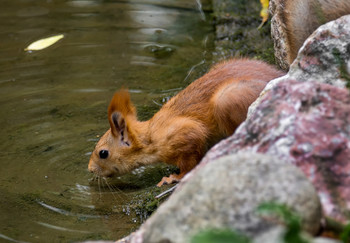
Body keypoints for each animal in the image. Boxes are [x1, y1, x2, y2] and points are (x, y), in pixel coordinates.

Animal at [87, 58, 284, 186]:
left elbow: (189, 161)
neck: (151, 138)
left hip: (228, 99)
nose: (90, 169)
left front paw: (174, 177)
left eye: (103, 153)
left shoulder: (186, 134)